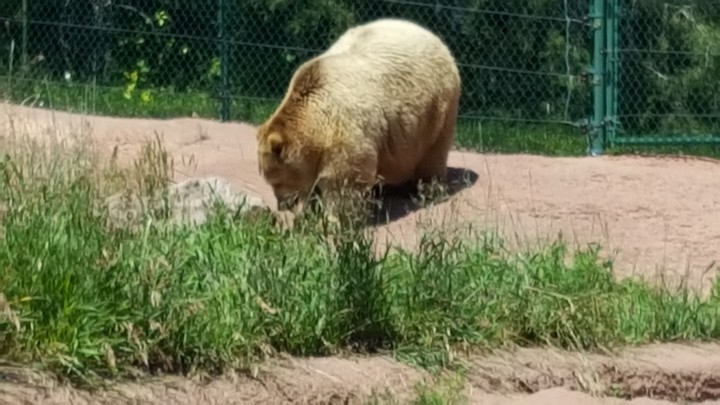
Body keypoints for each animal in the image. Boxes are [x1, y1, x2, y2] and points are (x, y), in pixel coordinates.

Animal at [256, 18, 461, 216]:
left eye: (276, 180)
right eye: (269, 180)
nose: (283, 205)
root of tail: (432, 35)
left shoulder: (343, 132)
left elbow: (345, 181)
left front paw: (336, 217)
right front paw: (311, 211)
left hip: (439, 107)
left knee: (434, 152)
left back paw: (428, 189)